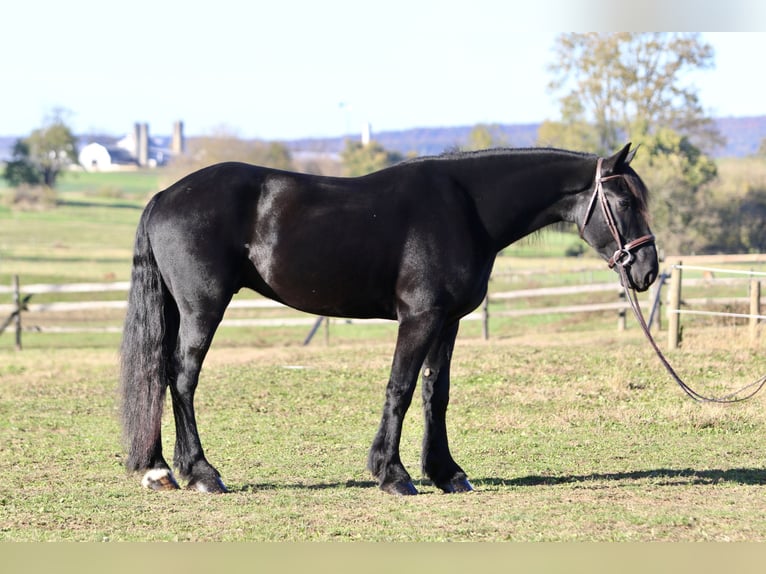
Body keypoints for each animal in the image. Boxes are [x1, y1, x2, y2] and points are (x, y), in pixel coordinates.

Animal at [119, 143, 658, 496]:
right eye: (624, 201)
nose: (647, 270)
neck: (465, 208)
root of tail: (165, 195)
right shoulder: (419, 318)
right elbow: (399, 388)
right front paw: (393, 475)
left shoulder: (448, 320)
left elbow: (435, 392)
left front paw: (446, 473)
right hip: (202, 308)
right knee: (181, 377)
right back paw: (201, 473)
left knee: (160, 375)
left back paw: (160, 470)